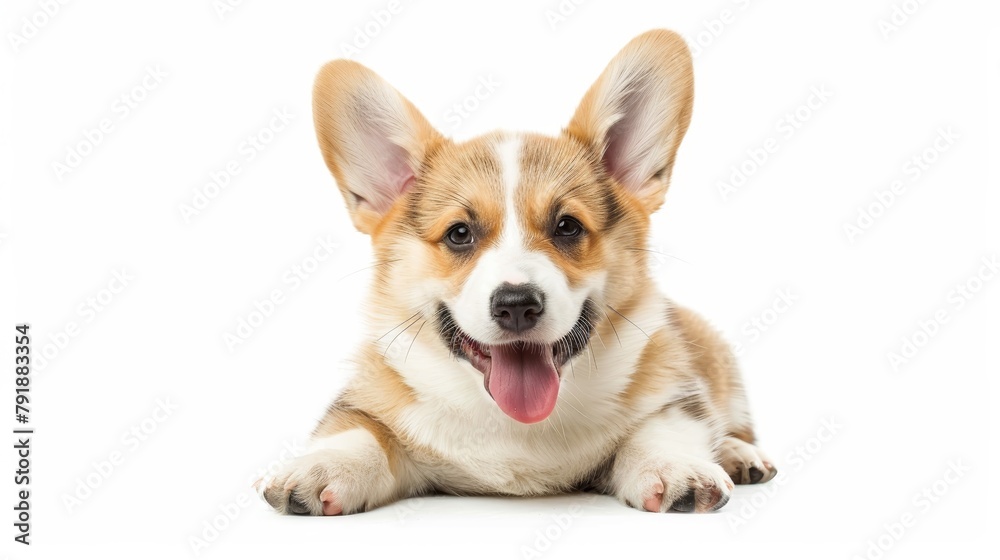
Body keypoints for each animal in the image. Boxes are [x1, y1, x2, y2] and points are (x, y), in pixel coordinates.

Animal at [258, 28, 772, 516]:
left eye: (567, 226)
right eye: (459, 234)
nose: (517, 305)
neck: (515, 425)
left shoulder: (675, 391)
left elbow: (663, 425)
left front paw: (674, 465)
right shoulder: (367, 400)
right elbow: (356, 429)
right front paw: (322, 465)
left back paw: (740, 454)